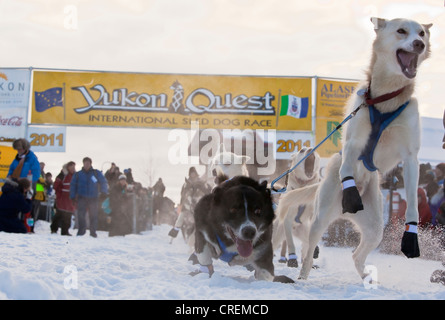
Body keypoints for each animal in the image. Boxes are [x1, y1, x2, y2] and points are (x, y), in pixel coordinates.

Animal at [298, 18, 430, 282]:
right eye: (401, 31)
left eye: (421, 33)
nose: (419, 44)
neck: (385, 99)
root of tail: (343, 215)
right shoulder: (355, 140)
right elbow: (349, 161)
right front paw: (350, 190)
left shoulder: (411, 157)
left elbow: (412, 197)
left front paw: (411, 232)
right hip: (320, 218)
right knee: (308, 252)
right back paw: (302, 276)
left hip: (375, 228)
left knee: (356, 255)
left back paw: (367, 277)